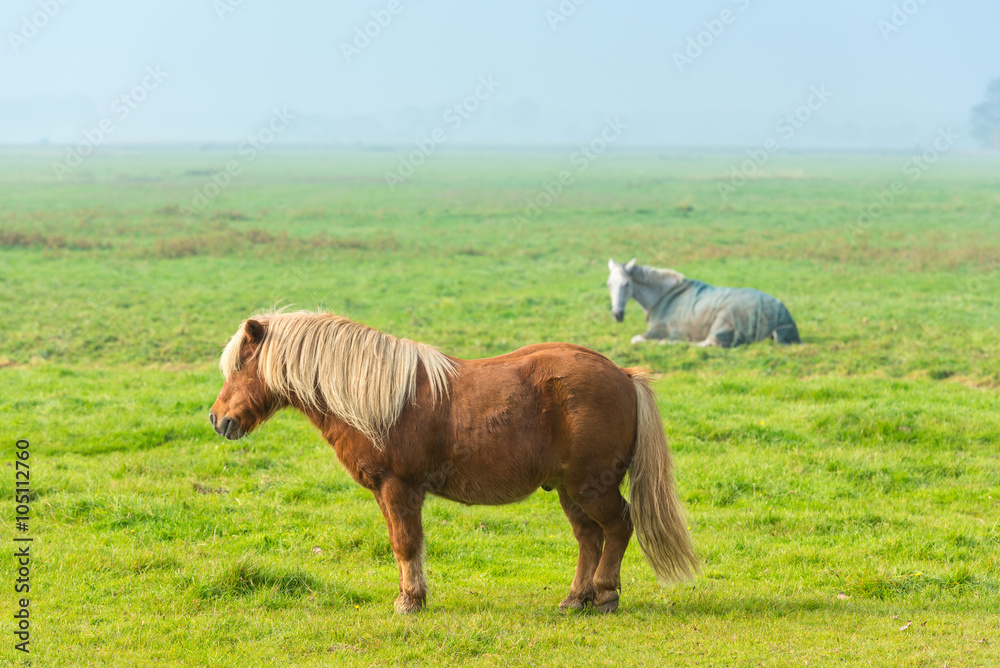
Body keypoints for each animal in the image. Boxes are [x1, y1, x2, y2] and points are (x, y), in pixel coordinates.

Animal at [211, 310, 696, 612]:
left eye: (239, 368)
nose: (218, 419)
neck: (378, 398)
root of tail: (624, 376)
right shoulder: (389, 492)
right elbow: (403, 544)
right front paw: (413, 596)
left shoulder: (399, 488)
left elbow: (406, 544)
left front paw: (409, 601)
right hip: (570, 490)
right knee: (589, 539)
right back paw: (577, 599)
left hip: (592, 486)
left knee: (618, 527)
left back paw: (606, 594)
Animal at [604, 258, 800, 348]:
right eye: (608, 284)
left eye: (626, 284)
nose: (617, 314)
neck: (663, 295)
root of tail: (779, 314)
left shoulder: (654, 331)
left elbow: (635, 339)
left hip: (721, 322)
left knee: (706, 343)